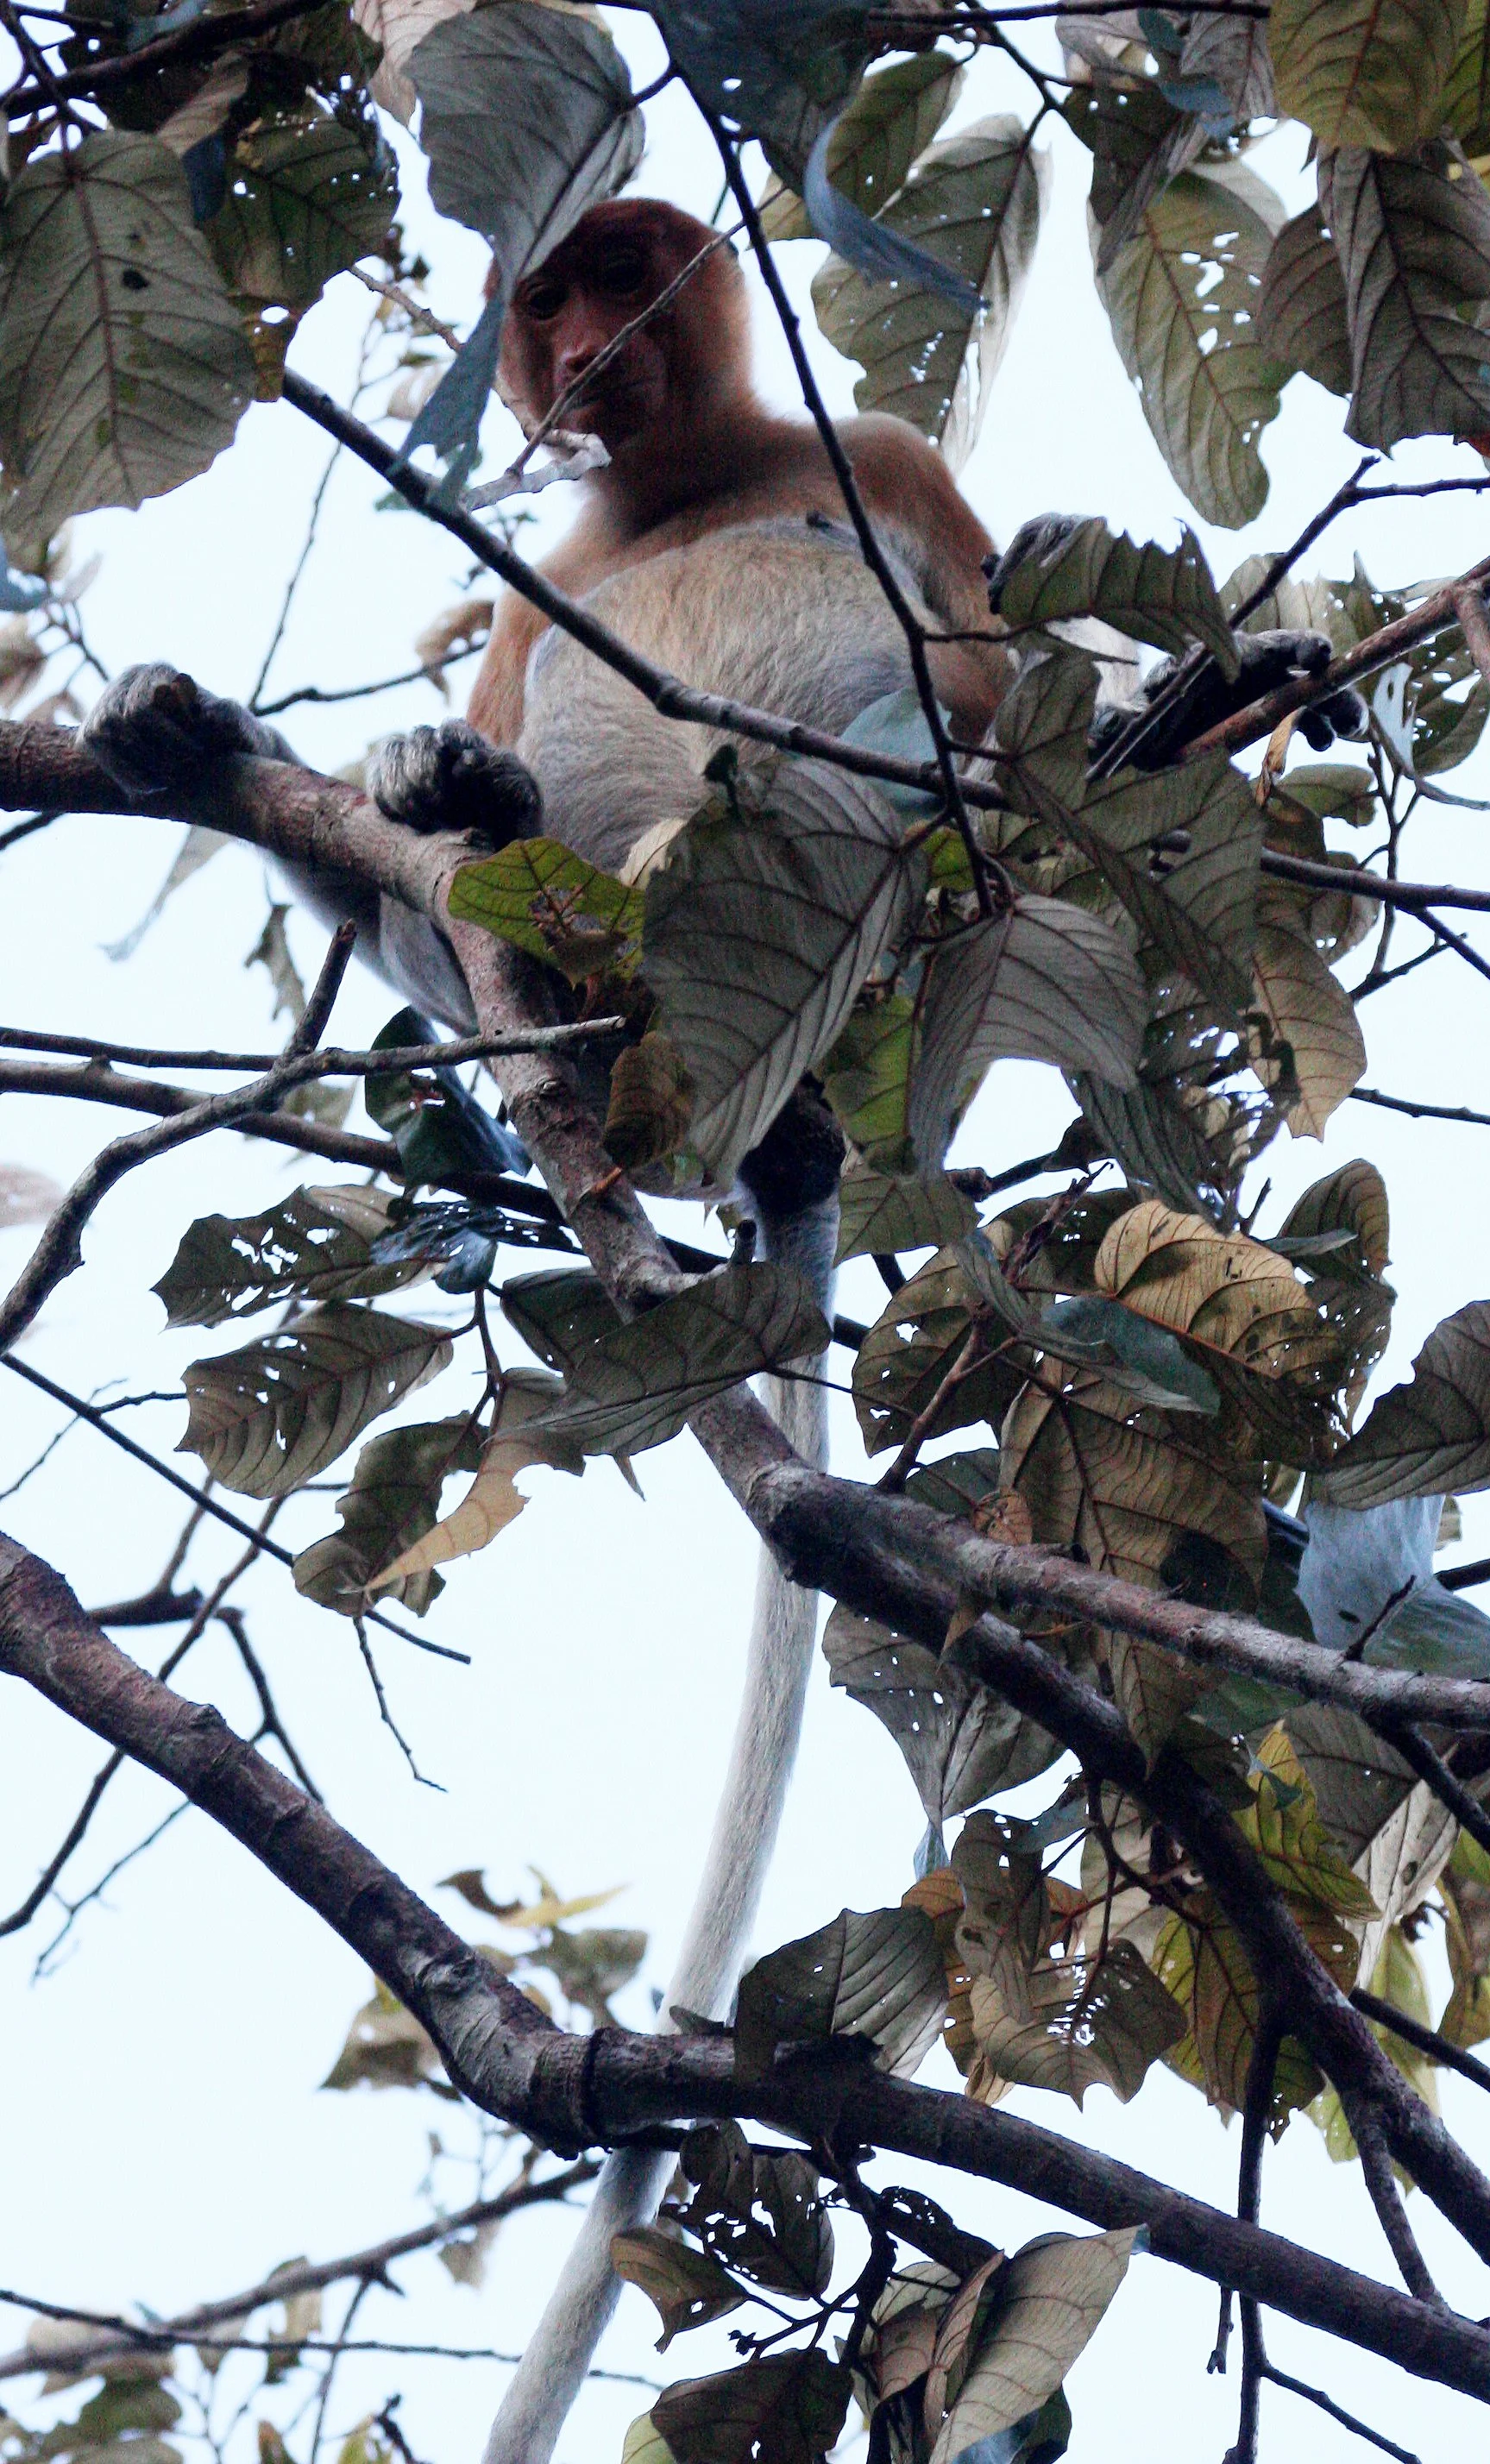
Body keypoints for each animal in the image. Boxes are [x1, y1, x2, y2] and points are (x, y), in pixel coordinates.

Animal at [79, 196, 1367, 2464]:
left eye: (621, 275)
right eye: (548, 297)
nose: (577, 351)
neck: (681, 479)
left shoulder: (889, 471)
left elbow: (992, 667)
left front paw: (1215, 678)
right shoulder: (558, 571)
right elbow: (421, 863)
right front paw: (248, 743)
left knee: (892, 792)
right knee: (494, 884)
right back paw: (449, 806)